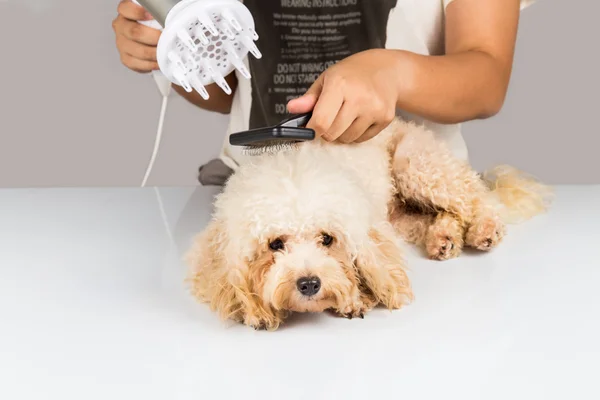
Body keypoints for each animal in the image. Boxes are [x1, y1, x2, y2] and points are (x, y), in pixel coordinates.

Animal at [185, 118, 552, 332]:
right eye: (275, 244)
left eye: (327, 239)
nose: (309, 283)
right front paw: (258, 312)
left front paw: (355, 298)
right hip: (401, 215)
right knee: (441, 215)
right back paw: (444, 237)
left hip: (417, 166)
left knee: (474, 199)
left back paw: (485, 229)